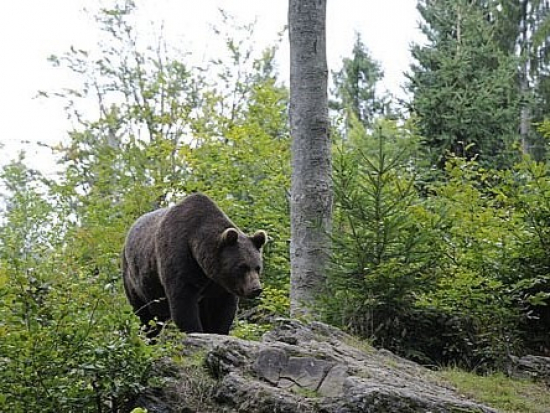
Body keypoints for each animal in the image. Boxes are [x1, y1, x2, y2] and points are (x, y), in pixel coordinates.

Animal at [122, 193, 268, 334]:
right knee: (146, 314)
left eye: (257, 267)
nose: (256, 288)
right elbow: (183, 301)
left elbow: (222, 309)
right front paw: (194, 330)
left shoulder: (218, 282)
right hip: (136, 281)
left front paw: (218, 330)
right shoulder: (179, 256)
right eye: (242, 267)